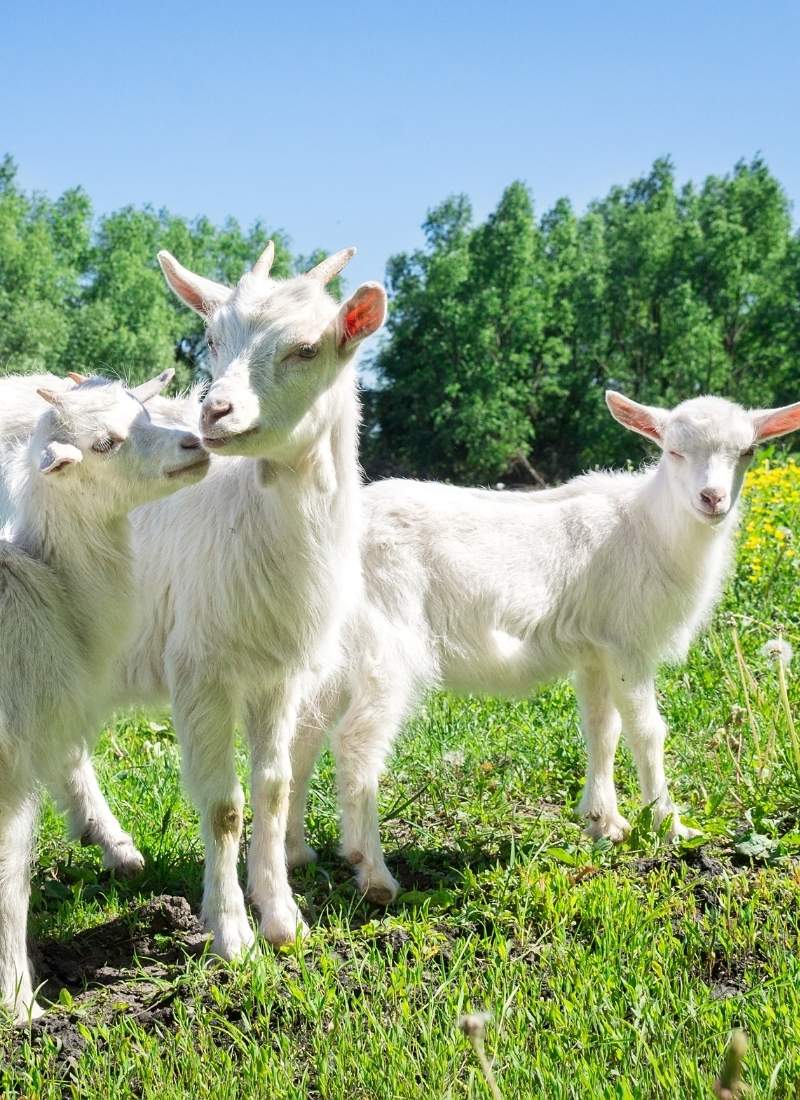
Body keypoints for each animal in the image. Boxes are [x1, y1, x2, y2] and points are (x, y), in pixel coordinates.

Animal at [0, 374, 208, 1022]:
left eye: (141, 409)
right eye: (104, 444)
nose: (195, 444)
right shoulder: (11, 763)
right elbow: (10, 885)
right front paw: (21, 1008)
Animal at [50, 245, 386, 955]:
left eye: (307, 348)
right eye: (211, 339)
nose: (216, 414)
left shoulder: (278, 673)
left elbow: (274, 788)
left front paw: (283, 919)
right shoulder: (199, 668)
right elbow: (225, 804)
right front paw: (231, 930)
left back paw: (115, 848)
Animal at [285, 390, 800, 903]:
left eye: (747, 451)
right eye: (673, 450)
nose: (712, 498)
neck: (648, 528)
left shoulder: (595, 649)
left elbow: (602, 729)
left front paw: (605, 822)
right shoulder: (626, 642)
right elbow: (646, 731)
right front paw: (670, 827)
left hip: (334, 650)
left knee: (304, 735)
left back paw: (296, 852)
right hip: (387, 642)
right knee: (355, 745)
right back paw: (373, 874)